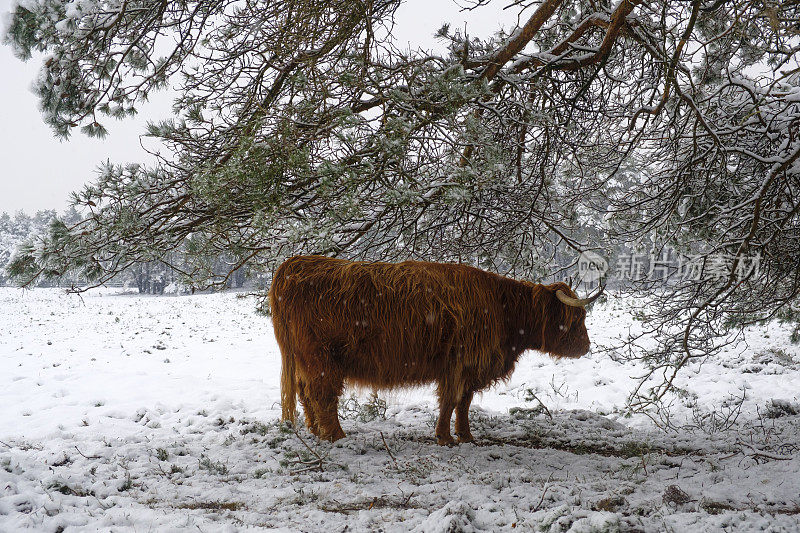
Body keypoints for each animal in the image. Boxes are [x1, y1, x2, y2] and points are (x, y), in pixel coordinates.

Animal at [268, 256, 600, 442]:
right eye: (577, 318)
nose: (586, 346)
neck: (503, 309)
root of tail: (294, 264)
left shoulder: (470, 368)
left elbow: (463, 403)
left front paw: (465, 436)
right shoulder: (460, 362)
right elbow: (451, 401)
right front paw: (444, 437)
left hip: (305, 359)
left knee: (304, 391)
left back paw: (315, 431)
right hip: (322, 359)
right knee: (322, 394)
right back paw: (336, 436)